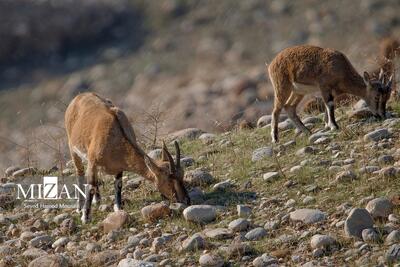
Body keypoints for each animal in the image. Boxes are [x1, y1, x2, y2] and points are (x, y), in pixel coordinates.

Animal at [65, 92, 190, 224]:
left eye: (182, 176)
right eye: (169, 180)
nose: (187, 200)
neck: (115, 134)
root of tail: (79, 97)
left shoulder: (118, 166)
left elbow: (118, 184)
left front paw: (118, 208)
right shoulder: (93, 162)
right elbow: (90, 186)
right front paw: (85, 217)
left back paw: (97, 200)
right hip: (73, 150)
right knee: (80, 173)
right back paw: (80, 207)